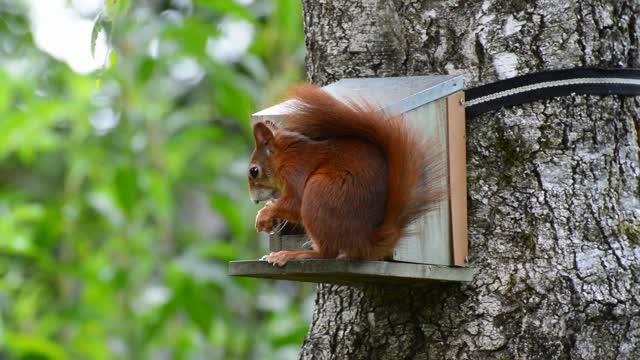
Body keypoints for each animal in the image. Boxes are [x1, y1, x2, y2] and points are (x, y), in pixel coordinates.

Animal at [248, 83, 442, 264]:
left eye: (254, 171)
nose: (254, 200)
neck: (286, 157)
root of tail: (364, 242)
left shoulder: (296, 172)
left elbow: (294, 203)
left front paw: (264, 214)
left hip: (318, 193)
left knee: (327, 253)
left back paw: (292, 255)